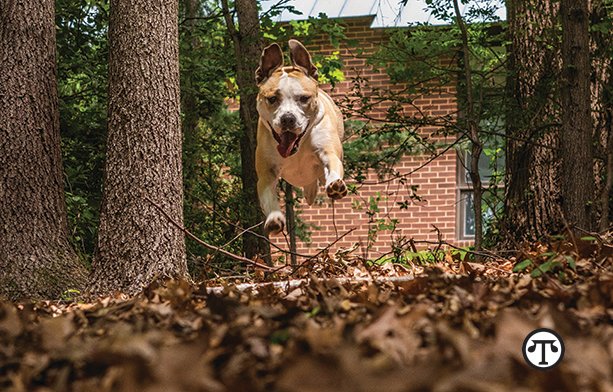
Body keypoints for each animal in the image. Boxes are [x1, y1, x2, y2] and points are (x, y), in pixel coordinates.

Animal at [253, 40, 346, 234]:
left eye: (304, 98)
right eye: (272, 99)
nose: (288, 118)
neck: (298, 145)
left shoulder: (328, 152)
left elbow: (333, 165)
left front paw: (335, 184)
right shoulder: (266, 173)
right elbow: (269, 197)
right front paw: (274, 218)